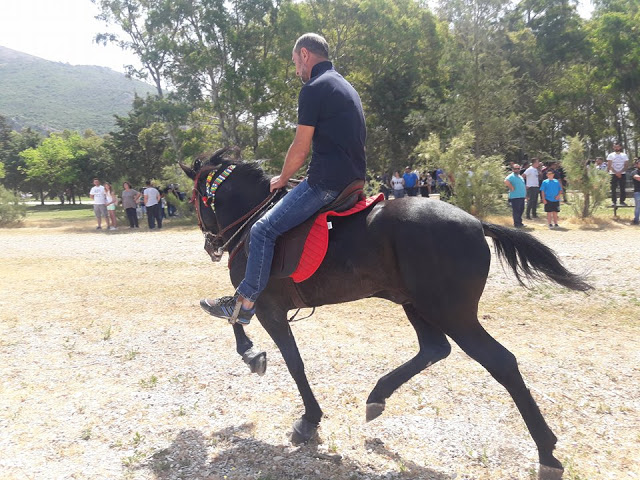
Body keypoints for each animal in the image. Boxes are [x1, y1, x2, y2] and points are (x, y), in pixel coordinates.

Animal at [180, 148, 592, 478]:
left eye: (194, 198)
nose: (211, 245)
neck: (255, 223)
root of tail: (475, 222)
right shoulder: (268, 307)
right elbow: (236, 319)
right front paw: (252, 353)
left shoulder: (268, 307)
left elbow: (280, 351)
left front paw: (305, 415)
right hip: (416, 304)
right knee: (434, 349)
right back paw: (377, 396)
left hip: (453, 314)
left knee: (501, 362)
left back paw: (547, 453)